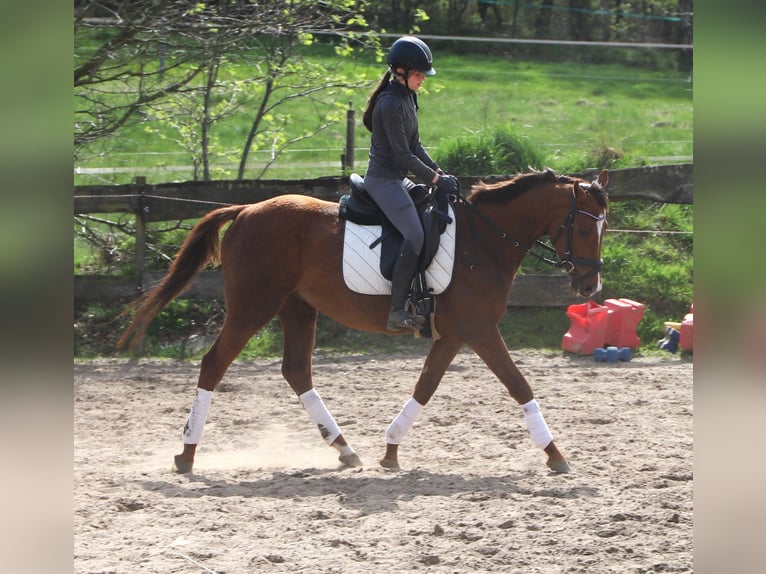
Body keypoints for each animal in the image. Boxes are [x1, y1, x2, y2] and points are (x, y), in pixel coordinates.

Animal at [117, 168, 609, 475]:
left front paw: (390, 451)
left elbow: (425, 386)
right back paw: (186, 455)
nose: (590, 287)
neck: (485, 240)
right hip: (252, 309)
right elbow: (519, 385)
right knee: (213, 365)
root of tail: (245, 210)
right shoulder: (479, 330)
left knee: (297, 371)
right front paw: (555, 454)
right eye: (585, 229)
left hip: (298, 308)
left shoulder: (453, 334)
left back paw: (344, 449)